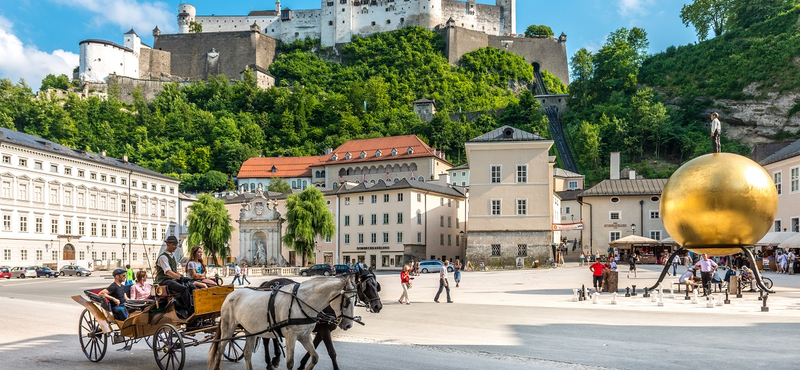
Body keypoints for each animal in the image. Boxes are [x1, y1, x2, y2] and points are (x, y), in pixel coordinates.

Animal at [209, 276, 356, 368]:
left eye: (355, 300)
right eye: (347, 301)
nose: (348, 325)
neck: (302, 302)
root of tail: (230, 295)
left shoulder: (305, 336)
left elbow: (315, 357)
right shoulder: (292, 336)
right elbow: (290, 363)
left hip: (250, 330)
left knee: (247, 353)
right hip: (228, 328)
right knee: (220, 350)